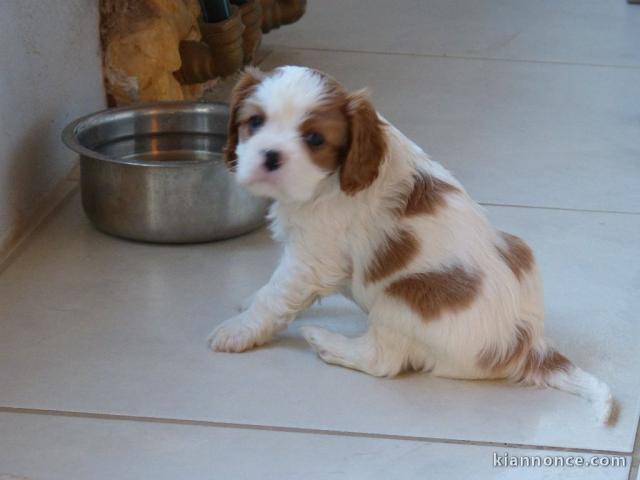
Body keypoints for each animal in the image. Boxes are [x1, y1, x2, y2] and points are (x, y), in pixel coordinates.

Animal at [210, 64, 616, 424]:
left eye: (314, 139)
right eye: (254, 122)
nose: (270, 156)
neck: (331, 181)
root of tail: (527, 346)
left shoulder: (313, 258)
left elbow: (275, 296)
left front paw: (238, 329)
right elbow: (271, 288)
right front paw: (247, 303)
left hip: (403, 296)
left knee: (382, 361)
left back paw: (324, 340)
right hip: (519, 248)